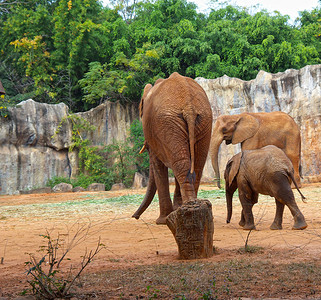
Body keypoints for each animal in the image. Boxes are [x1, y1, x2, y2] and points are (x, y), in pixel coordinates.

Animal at [131, 71, 211, 224]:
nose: (134, 217)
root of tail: (189, 107)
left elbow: (158, 165)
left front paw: (162, 221)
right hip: (202, 121)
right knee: (194, 165)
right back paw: (193, 208)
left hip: (169, 123)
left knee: (182, 165)